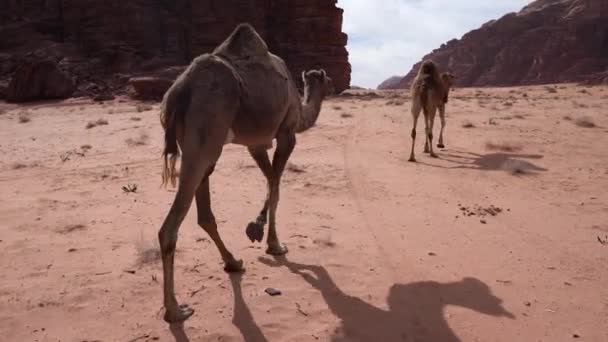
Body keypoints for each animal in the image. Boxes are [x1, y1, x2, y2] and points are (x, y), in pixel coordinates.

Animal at [154, 22, 330, 322]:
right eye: (322, 78)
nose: (330, 82)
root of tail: (179, 91)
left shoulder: (255, 144)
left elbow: (271, 180)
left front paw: (257, 230)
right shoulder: (287, 132)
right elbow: (276, 185)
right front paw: (272, 242)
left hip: (199, 145)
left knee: (205, 214)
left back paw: (233, 261)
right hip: (206, 136)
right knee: (171, 226)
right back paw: (176, 309)